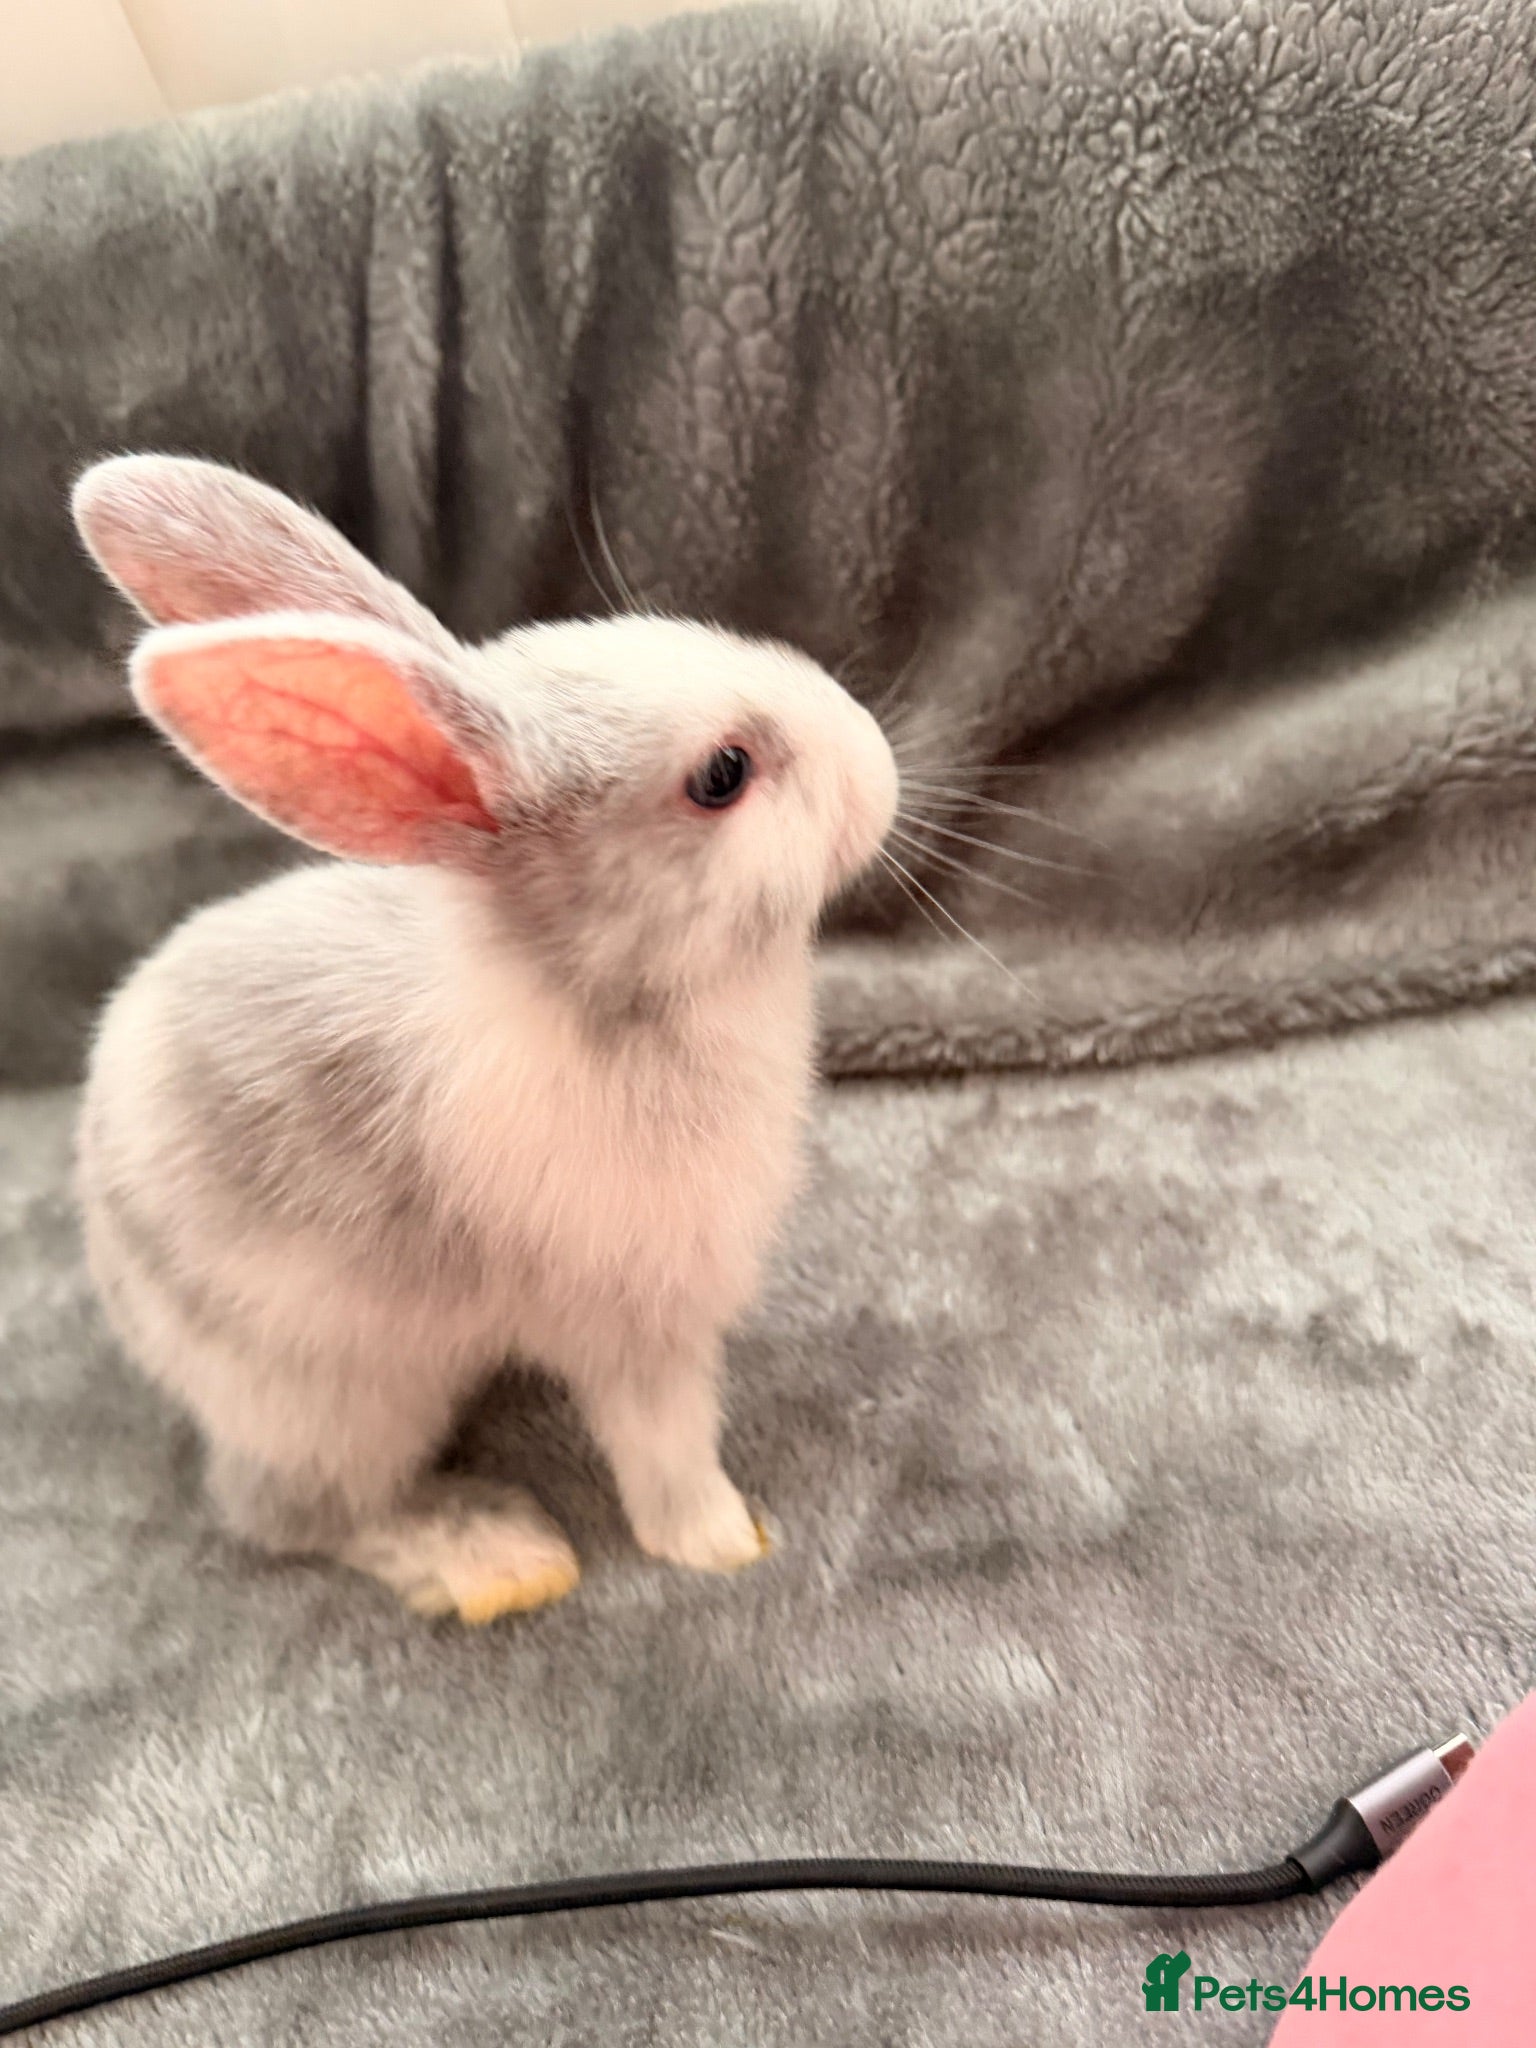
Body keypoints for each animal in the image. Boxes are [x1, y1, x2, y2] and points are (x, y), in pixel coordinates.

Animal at [69, 454, 898, 1624]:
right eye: (723, 775)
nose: (878, 757)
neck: (609, 996)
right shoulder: (637, 1322)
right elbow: (666, 1446)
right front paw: (726, 1543)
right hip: (331, 1396)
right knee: (290, 1514)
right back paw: (495, 1556)